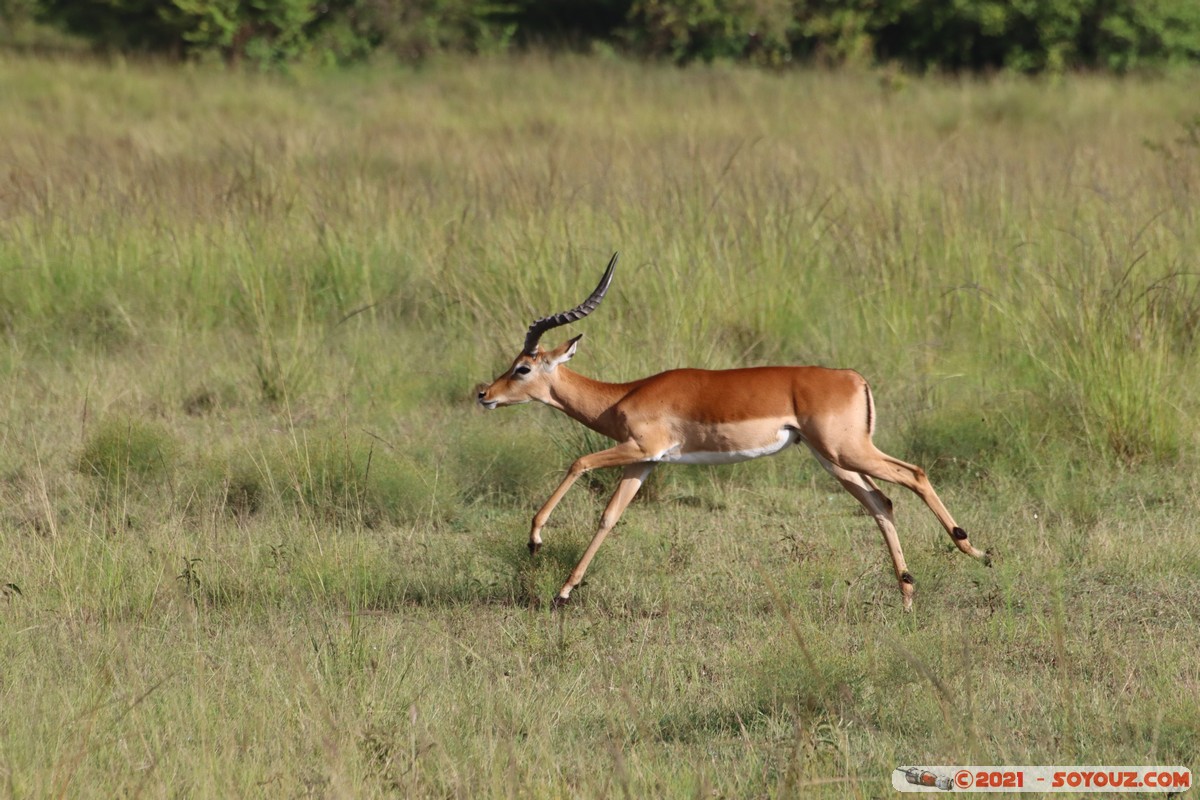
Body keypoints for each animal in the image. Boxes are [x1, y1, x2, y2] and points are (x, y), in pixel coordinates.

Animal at [477, 254, 989, 610]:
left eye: (522, 367)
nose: (484, 394)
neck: (624, 395)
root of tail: (853, 377)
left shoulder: (638, 446)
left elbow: (578, 461)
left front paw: (535, 541)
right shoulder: (644, 462)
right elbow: (609, 517)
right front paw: (564, 593)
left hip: (848, 451)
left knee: (914, 474)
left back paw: (976, 552)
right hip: (833, 459)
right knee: (882, 502)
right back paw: (907, 595)